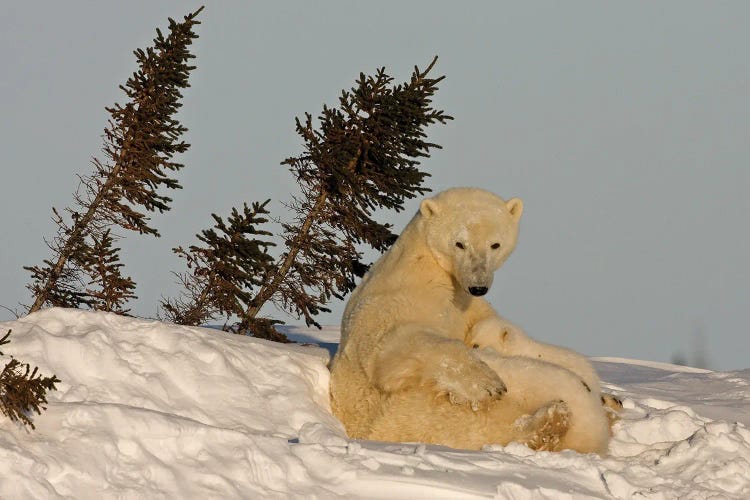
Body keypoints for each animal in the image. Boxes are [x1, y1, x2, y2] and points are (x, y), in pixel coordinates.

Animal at [332, 188, 612, 454]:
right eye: (460, 244)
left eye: (495, 244)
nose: (479, 285)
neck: (430, 267)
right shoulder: (401, 295)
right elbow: (392, 346)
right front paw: (487, 384)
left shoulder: (469, 304)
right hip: (420, 411)